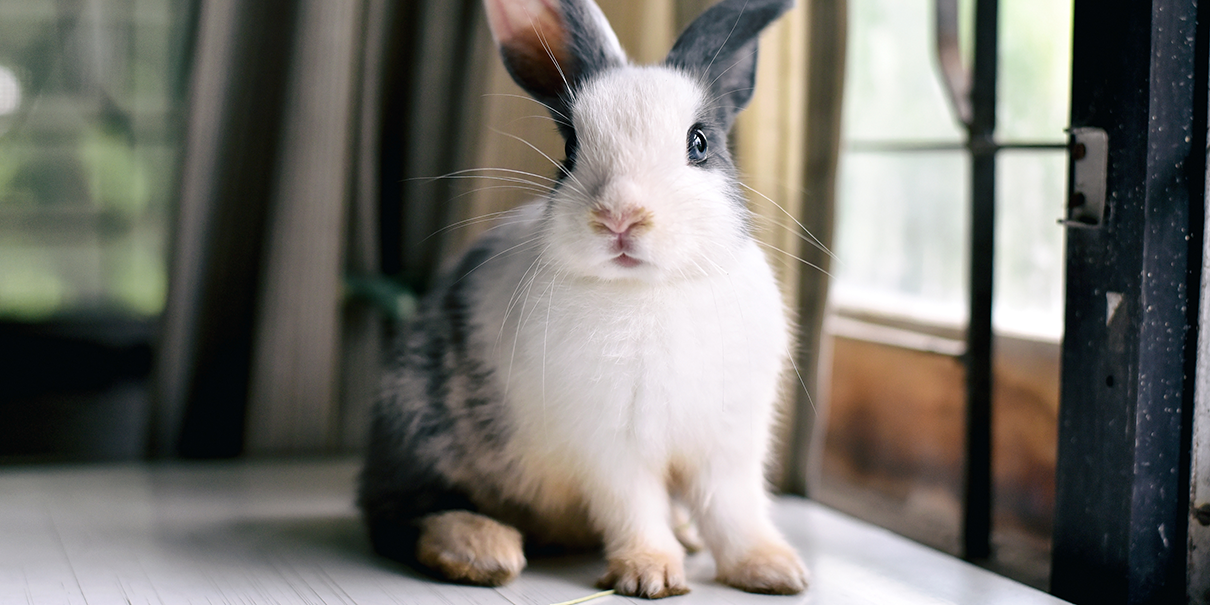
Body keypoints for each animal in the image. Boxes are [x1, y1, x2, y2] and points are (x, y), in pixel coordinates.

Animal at [358, 0, 808, 598]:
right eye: (570, 148)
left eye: (700, 143)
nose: (620, 216)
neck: (649, 292)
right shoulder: (611, 447)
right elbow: (635, 509)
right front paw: (651, 575)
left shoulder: (728, 443)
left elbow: (734, 511)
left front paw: (775, 571)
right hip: (419, 426)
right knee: (399, 512)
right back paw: (483, 548)